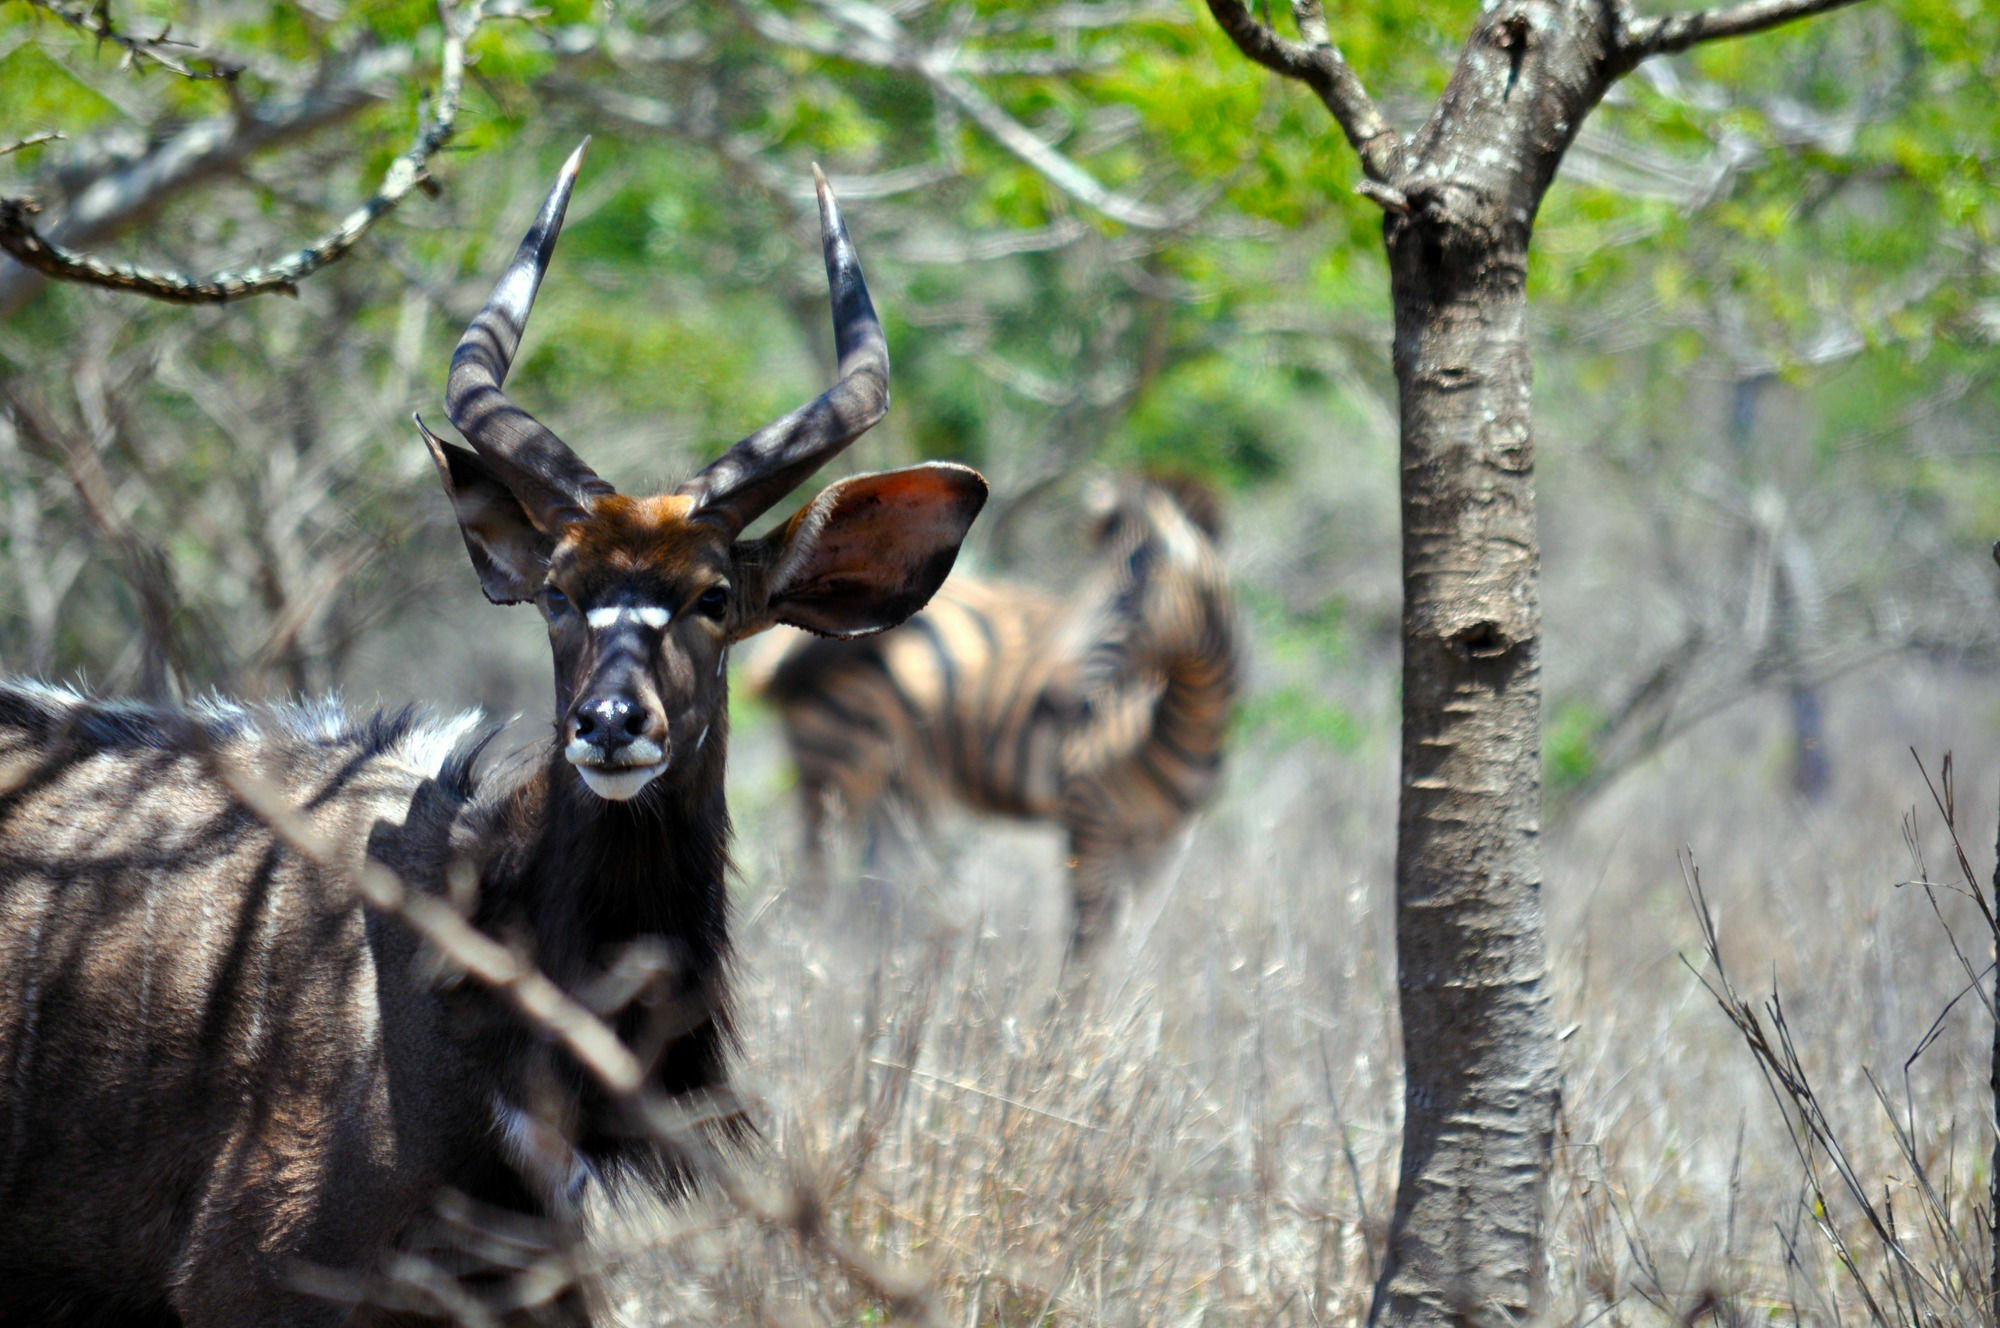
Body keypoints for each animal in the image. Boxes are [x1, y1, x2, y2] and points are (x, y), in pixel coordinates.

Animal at [756, 478, 1240, 956]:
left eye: (1129, 599)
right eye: (1084, 593)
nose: (1050, 698)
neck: (1190, 717)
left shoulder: (1166, 841)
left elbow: (1128, 944)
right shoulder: (1088, 815)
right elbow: (1085, 944)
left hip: (898, 785)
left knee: (877, 893)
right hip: (832, 763)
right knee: (813, 889)